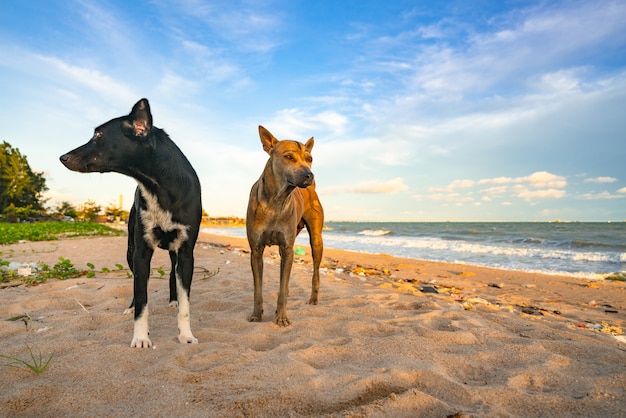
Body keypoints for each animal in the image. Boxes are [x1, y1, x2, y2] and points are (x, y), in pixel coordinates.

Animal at [58, 98, 200, 346]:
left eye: (98, 135)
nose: (62, 157)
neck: (159, 187)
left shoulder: (185, 252)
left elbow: (185, 305)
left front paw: (186, 335)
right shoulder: (141, 252)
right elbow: (142, 301)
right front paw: (141, 338)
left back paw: (173, 301)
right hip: (130, 250)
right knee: (137, 284)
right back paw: (131, 306)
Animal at [245, 125, 324, 324]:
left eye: (309, 159)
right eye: (288, 157)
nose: (309, 175)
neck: (277, 200)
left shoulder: (288, 249)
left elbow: (283, 287)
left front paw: (281, 317)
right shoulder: (256, 250)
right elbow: (258, 289)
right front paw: (257, 314)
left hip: (316, 240)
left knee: (315, 271)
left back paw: (313, 298)